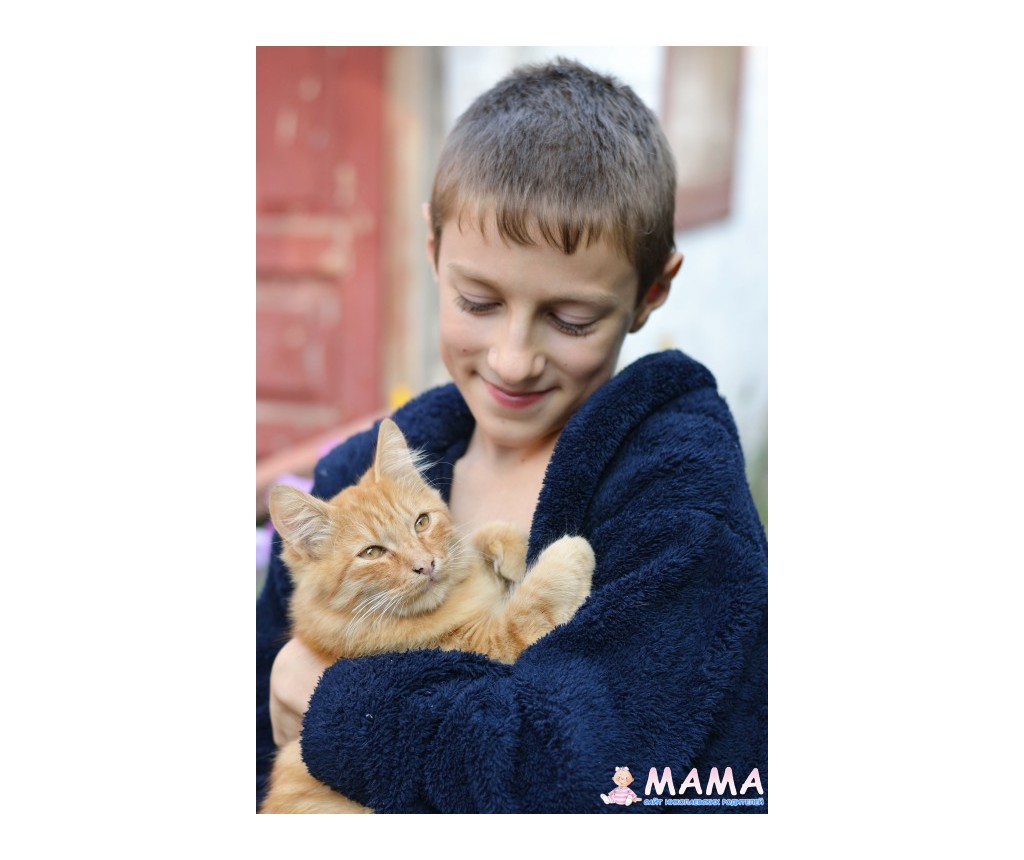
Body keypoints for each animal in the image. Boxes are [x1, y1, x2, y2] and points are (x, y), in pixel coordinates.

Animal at [259, 418, 595, 813]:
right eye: (372, 553)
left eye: (421, 522)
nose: (425, 565)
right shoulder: (484, 648)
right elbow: (531, 602)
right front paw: (569, 552)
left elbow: (478, 539)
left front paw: (510, 549)